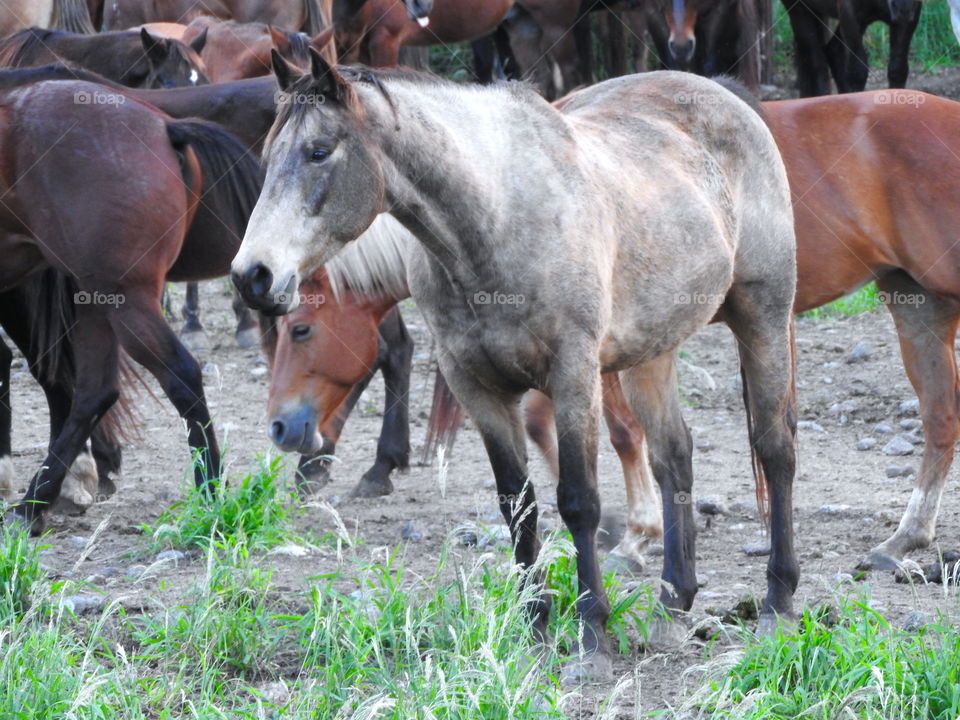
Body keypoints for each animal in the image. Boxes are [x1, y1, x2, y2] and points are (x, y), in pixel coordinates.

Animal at [0, 79, 261, 531]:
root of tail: (163, 126)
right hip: (95, 300)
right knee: (93, 392)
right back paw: (35, 503)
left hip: (126, 301)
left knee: (182, 375)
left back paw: (210, 493)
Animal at [232, 56, 799, 679]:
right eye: (267, 155)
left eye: (318, 151)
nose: (252, 275)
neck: (495, 221)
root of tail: (724, 94)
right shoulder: (477, 387)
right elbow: (518, 505)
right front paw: (534, 631)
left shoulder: (573, 375)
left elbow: (577, 500)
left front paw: (592, 638)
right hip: (653, 352)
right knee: (674, 456)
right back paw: (673, 604)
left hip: (763, 319)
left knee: (776, 452)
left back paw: (779, 605)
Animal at [783, 0, 923, 96]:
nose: (903, 6)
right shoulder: (849, 13)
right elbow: (858, 72)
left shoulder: (910, 15)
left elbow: (898, 69)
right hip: (798, 10)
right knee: (816, 63)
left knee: (834, 52)